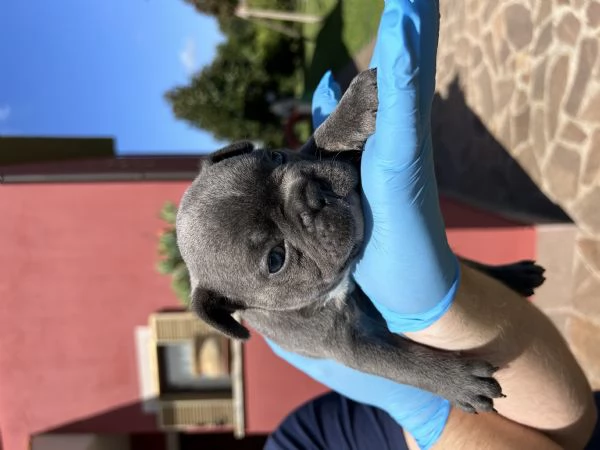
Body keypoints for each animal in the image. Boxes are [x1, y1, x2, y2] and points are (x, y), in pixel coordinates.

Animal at [176, 68, 548, 414]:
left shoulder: (319, 157)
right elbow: (404, 365)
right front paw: (458, 383)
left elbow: (319, 143)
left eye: (276, 157)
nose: (310, 195)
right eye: (275, 259)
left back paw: (513, 275)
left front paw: (351, 110)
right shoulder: (349, 346)